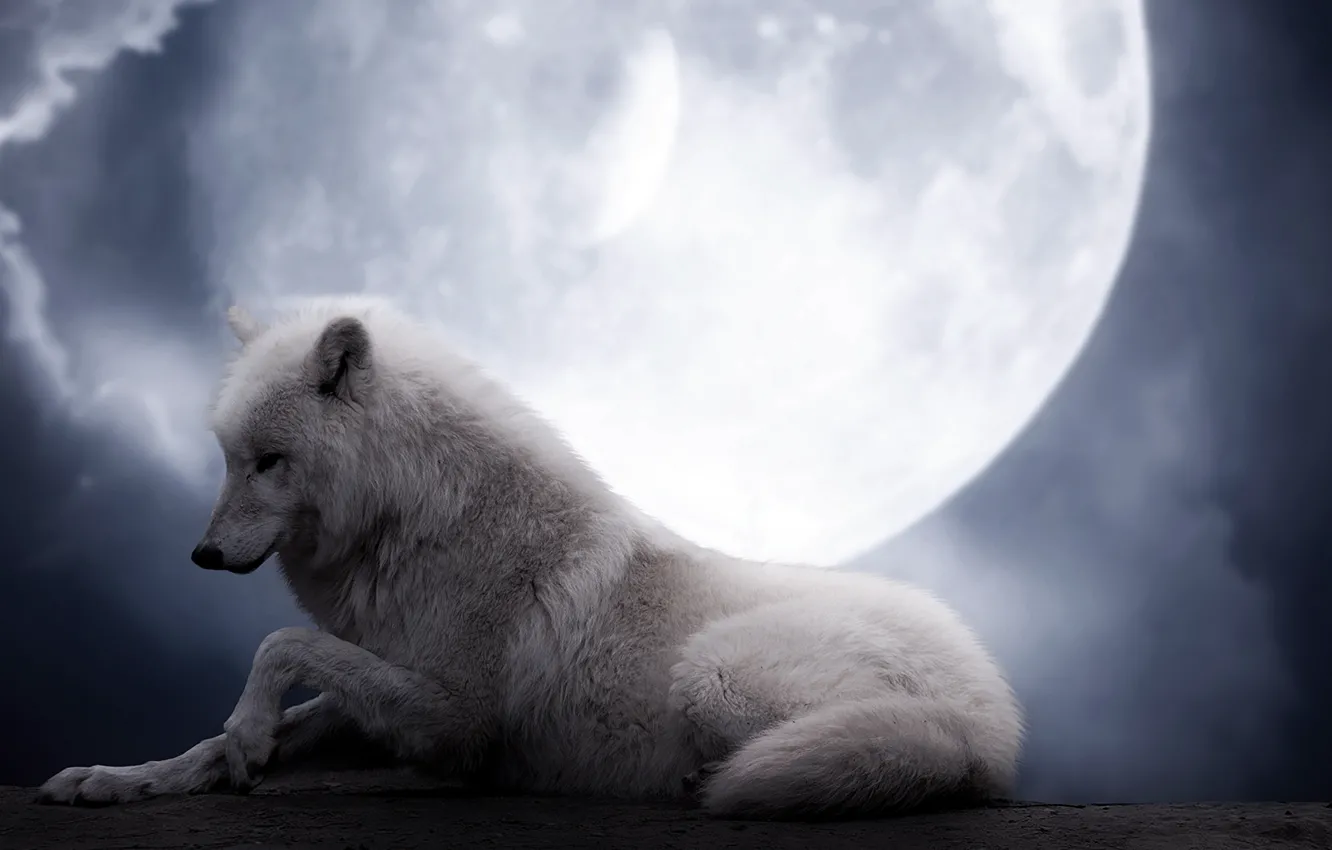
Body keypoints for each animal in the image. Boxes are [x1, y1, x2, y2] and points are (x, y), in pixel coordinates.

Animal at [37, 297, 1024, 819]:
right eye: (227, 457)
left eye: (269, 461)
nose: (201, 555)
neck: (415, 518)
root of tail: (992, 719)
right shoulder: (386, 684)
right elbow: (236, 728)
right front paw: (124, 778)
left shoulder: (455, 716)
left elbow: (279, 645)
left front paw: (245, 736)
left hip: (711, 674)